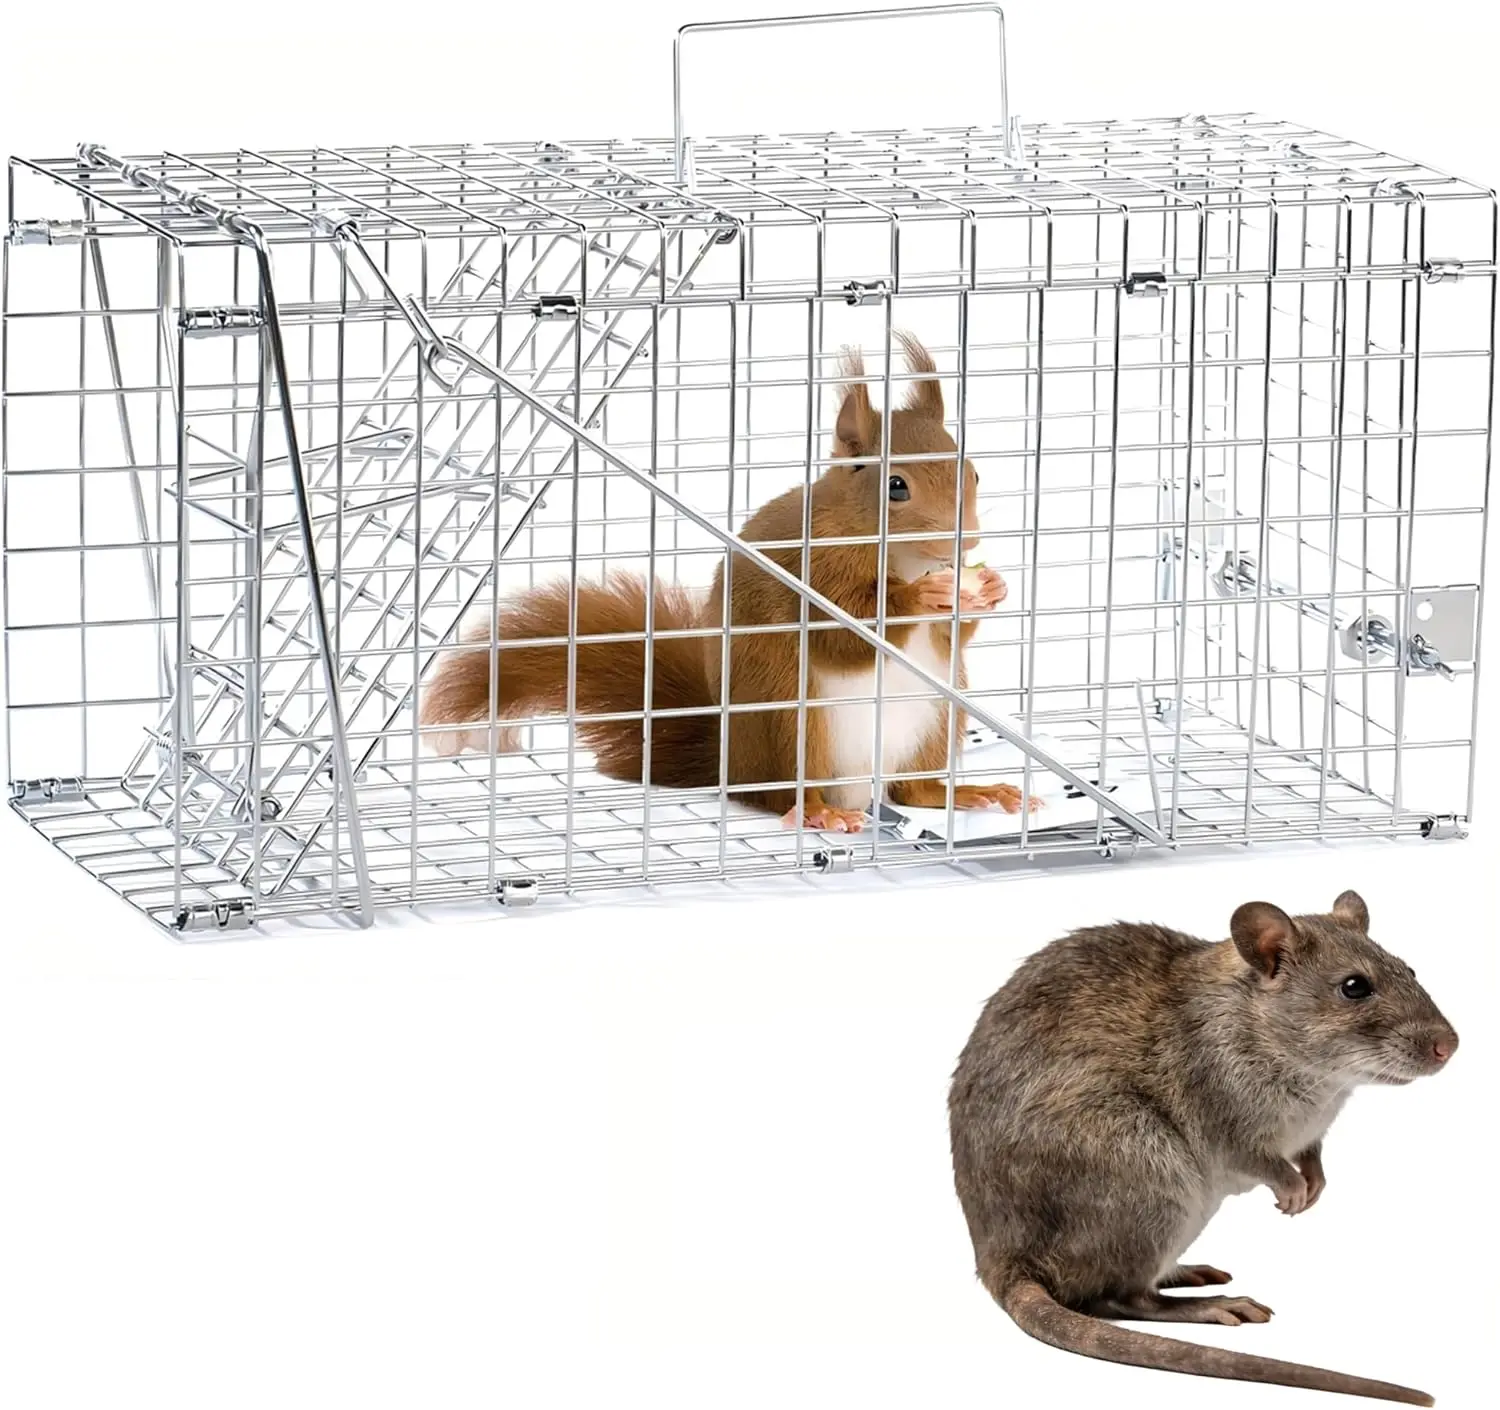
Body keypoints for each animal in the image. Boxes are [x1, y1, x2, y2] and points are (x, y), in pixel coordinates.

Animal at [418, 332, 1039, 831]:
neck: (902, 558)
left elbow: (950, 637)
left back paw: (972, 793)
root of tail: (726, 762)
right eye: (896, 486)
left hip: (939, 718)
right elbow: (844, 634)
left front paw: (989, 590)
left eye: (973, 472)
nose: (965, 542)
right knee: (778, 794)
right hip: (791, 720)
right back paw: (818, 812)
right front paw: (917, 597)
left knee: (913, 790)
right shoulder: (809, 570)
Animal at [948, 890, 1458, 1406]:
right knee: (1119, 1298)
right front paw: (1293, 1189)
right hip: (1151, 1176)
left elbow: (1311, 1155)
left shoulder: (1312, 1131)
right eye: (1354, 987)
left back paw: (1186, 1271)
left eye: (1409, 970)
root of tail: (1004, 1261)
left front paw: (1314, 1183)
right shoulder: (1221, 1106)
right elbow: (1259, 1160)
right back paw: (1208, 1305)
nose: (1449, 1046)